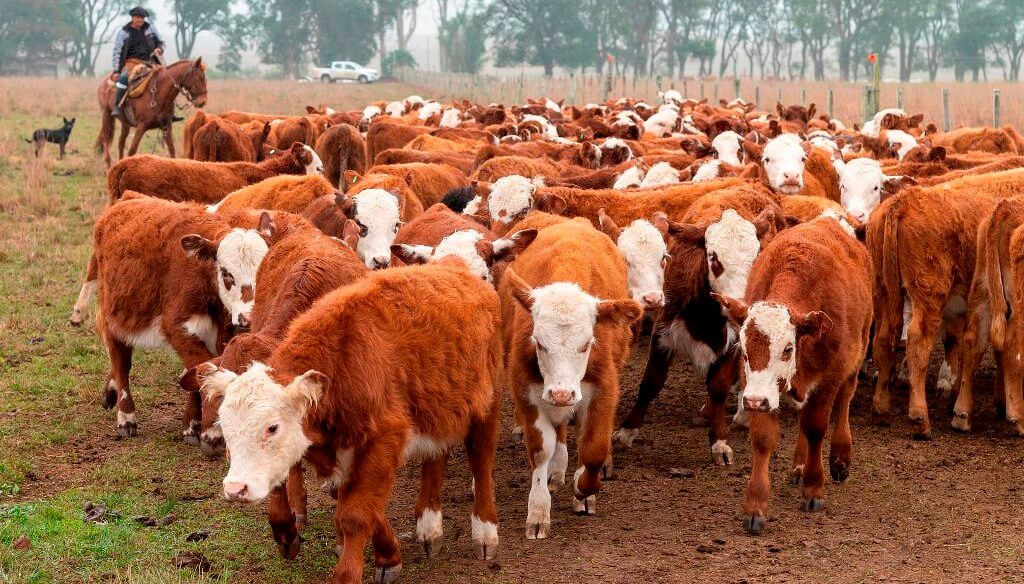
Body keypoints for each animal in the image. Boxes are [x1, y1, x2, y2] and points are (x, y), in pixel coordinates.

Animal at [197, 259, 503, 584]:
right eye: (226, 428)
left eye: (272, 427)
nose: (235, 489)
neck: (341, 364)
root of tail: (456, 266)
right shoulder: (339, 451)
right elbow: (359, 503)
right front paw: (387, 553)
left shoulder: (384, 439)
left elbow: (355, 513)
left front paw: (356, 569)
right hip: (438, 408)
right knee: (436, 456)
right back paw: (429, 527)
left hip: (487, 405)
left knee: (481, 459)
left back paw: (485, 532)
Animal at [714, 215, 872, 535]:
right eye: (744, 349)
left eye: (788, 348)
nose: (754, 402)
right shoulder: (758, 387)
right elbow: (764, 438)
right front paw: (756, 505)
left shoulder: (829, 378)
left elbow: (816, 428)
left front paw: (814, 487)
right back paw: (799, 465)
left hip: (858, 351)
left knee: (845, 399)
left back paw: (839, 457)